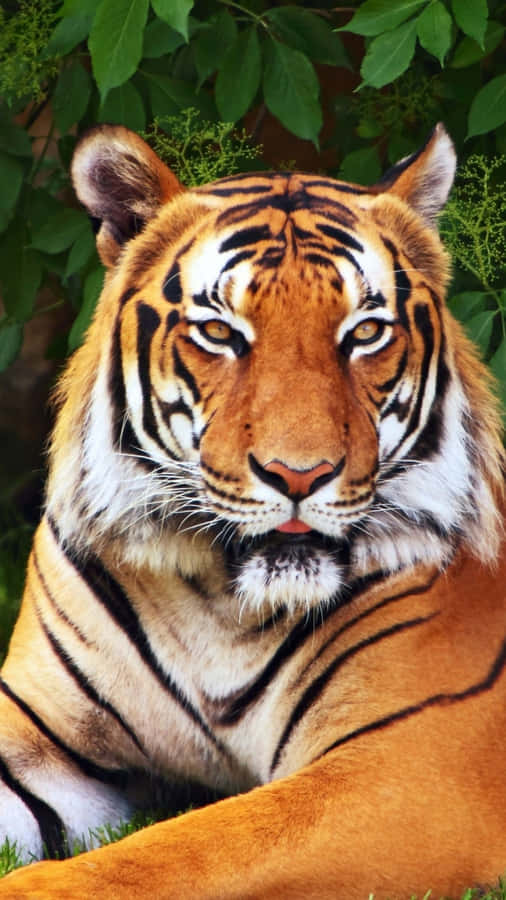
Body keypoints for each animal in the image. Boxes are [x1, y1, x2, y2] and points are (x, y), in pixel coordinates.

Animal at [0, 121, 505, 900]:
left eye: (364, 333)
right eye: (220, 332)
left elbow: (178, 851)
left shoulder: (410, 766)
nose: (301, 474)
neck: (219, 602)